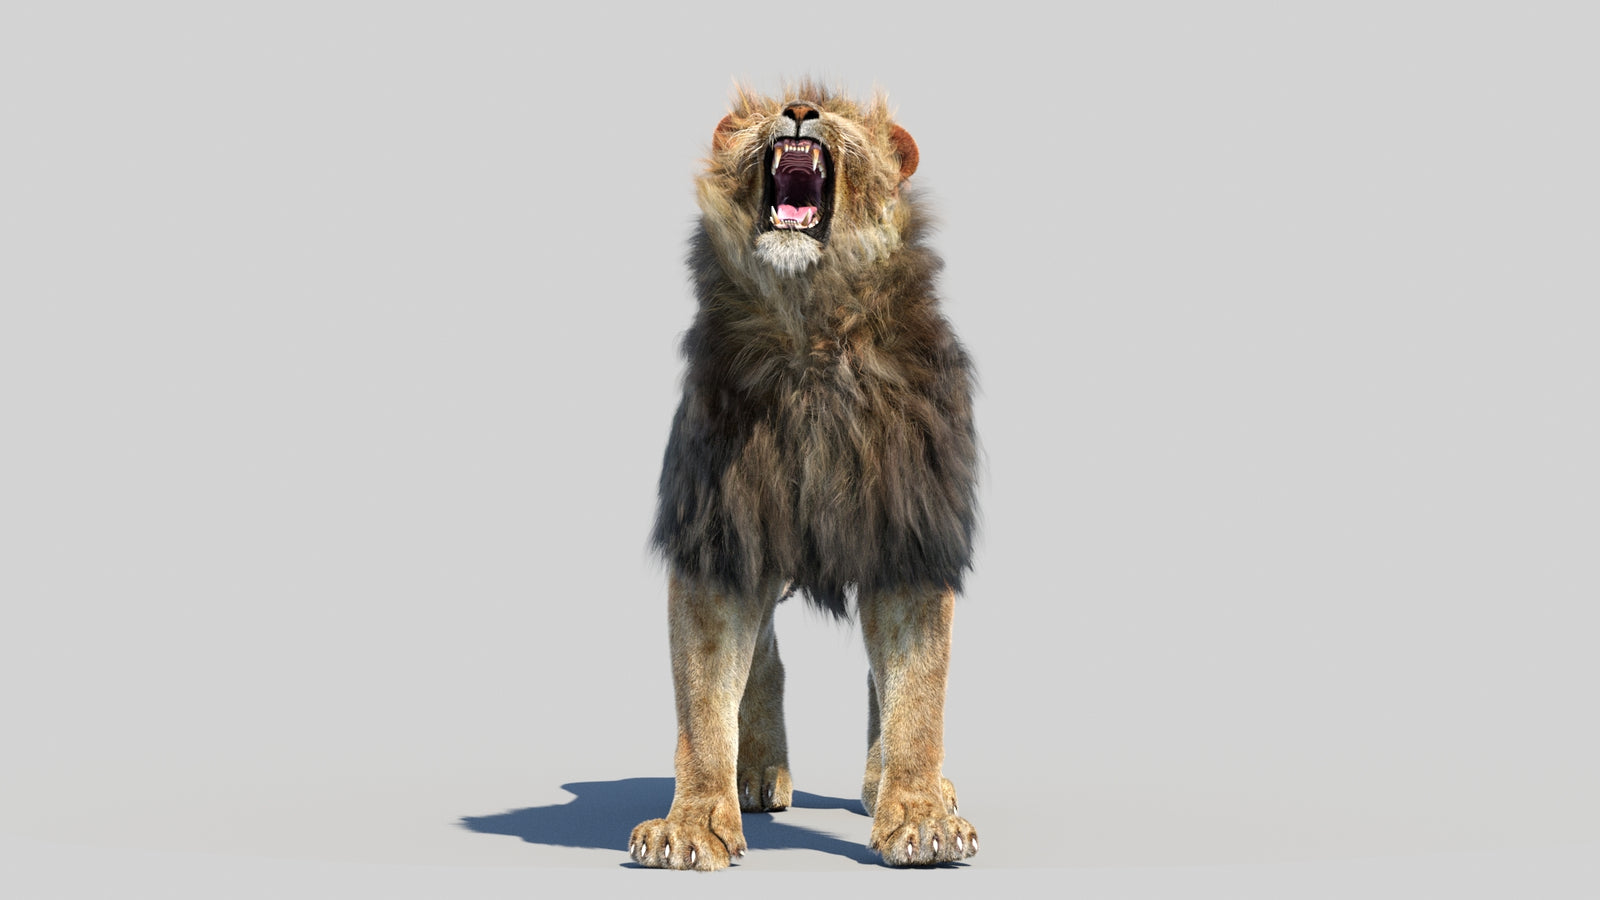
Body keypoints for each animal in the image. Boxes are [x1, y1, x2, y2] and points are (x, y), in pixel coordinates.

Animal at [629, 83, 980, 870]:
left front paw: (920, 816)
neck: (810, 327)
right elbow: (704, 698)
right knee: (763, 657)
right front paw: (692, 823)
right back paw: (757, 772)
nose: (797, 110)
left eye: (839, 111)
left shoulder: (908, 533)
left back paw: (893, 787)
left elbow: (917, 690)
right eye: (766, 108)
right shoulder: (721, 533)